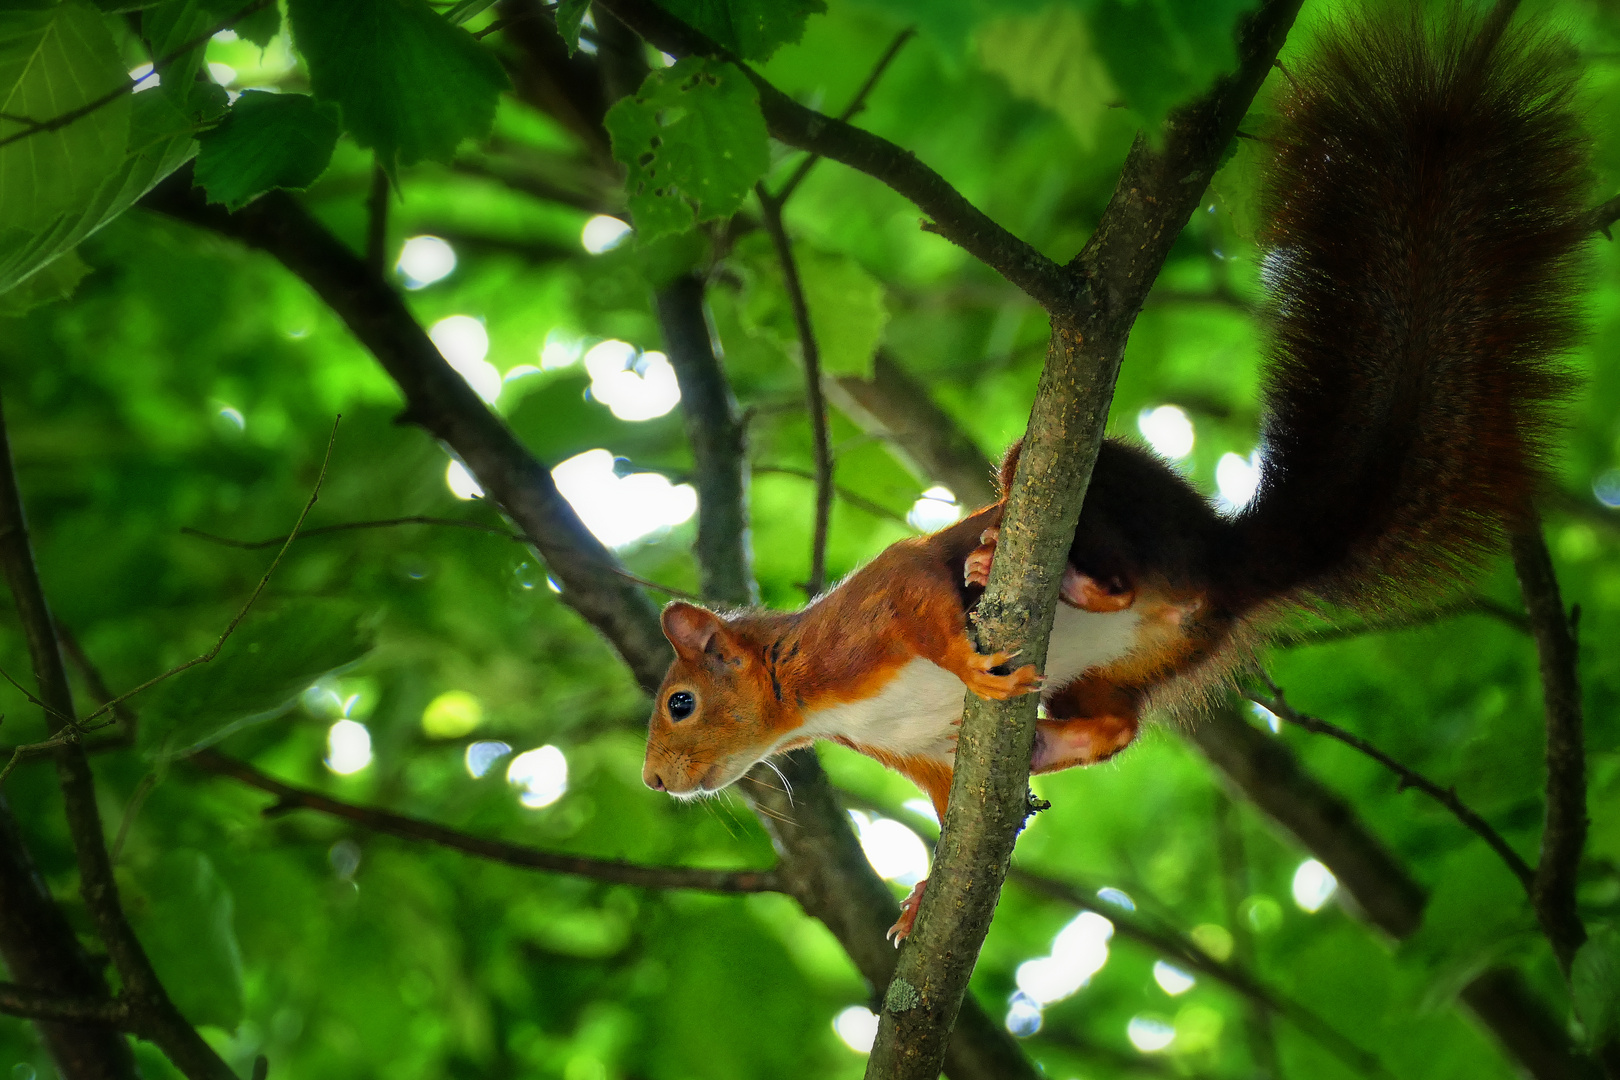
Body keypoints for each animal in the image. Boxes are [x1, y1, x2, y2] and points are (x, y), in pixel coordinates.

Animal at [638, 6, 1587, 939]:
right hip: (1145, 663)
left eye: (679, 702)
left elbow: (919, 593)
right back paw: (1053, 735)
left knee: (1111, 569)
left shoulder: (868, 615)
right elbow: (950, 814)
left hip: (1106, 498)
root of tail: (1224, 563)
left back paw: (1034, 570)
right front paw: (920, 899)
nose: (652, 780)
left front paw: (965, 654)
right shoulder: (922, 750)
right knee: (1118, 724)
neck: (805, 696)